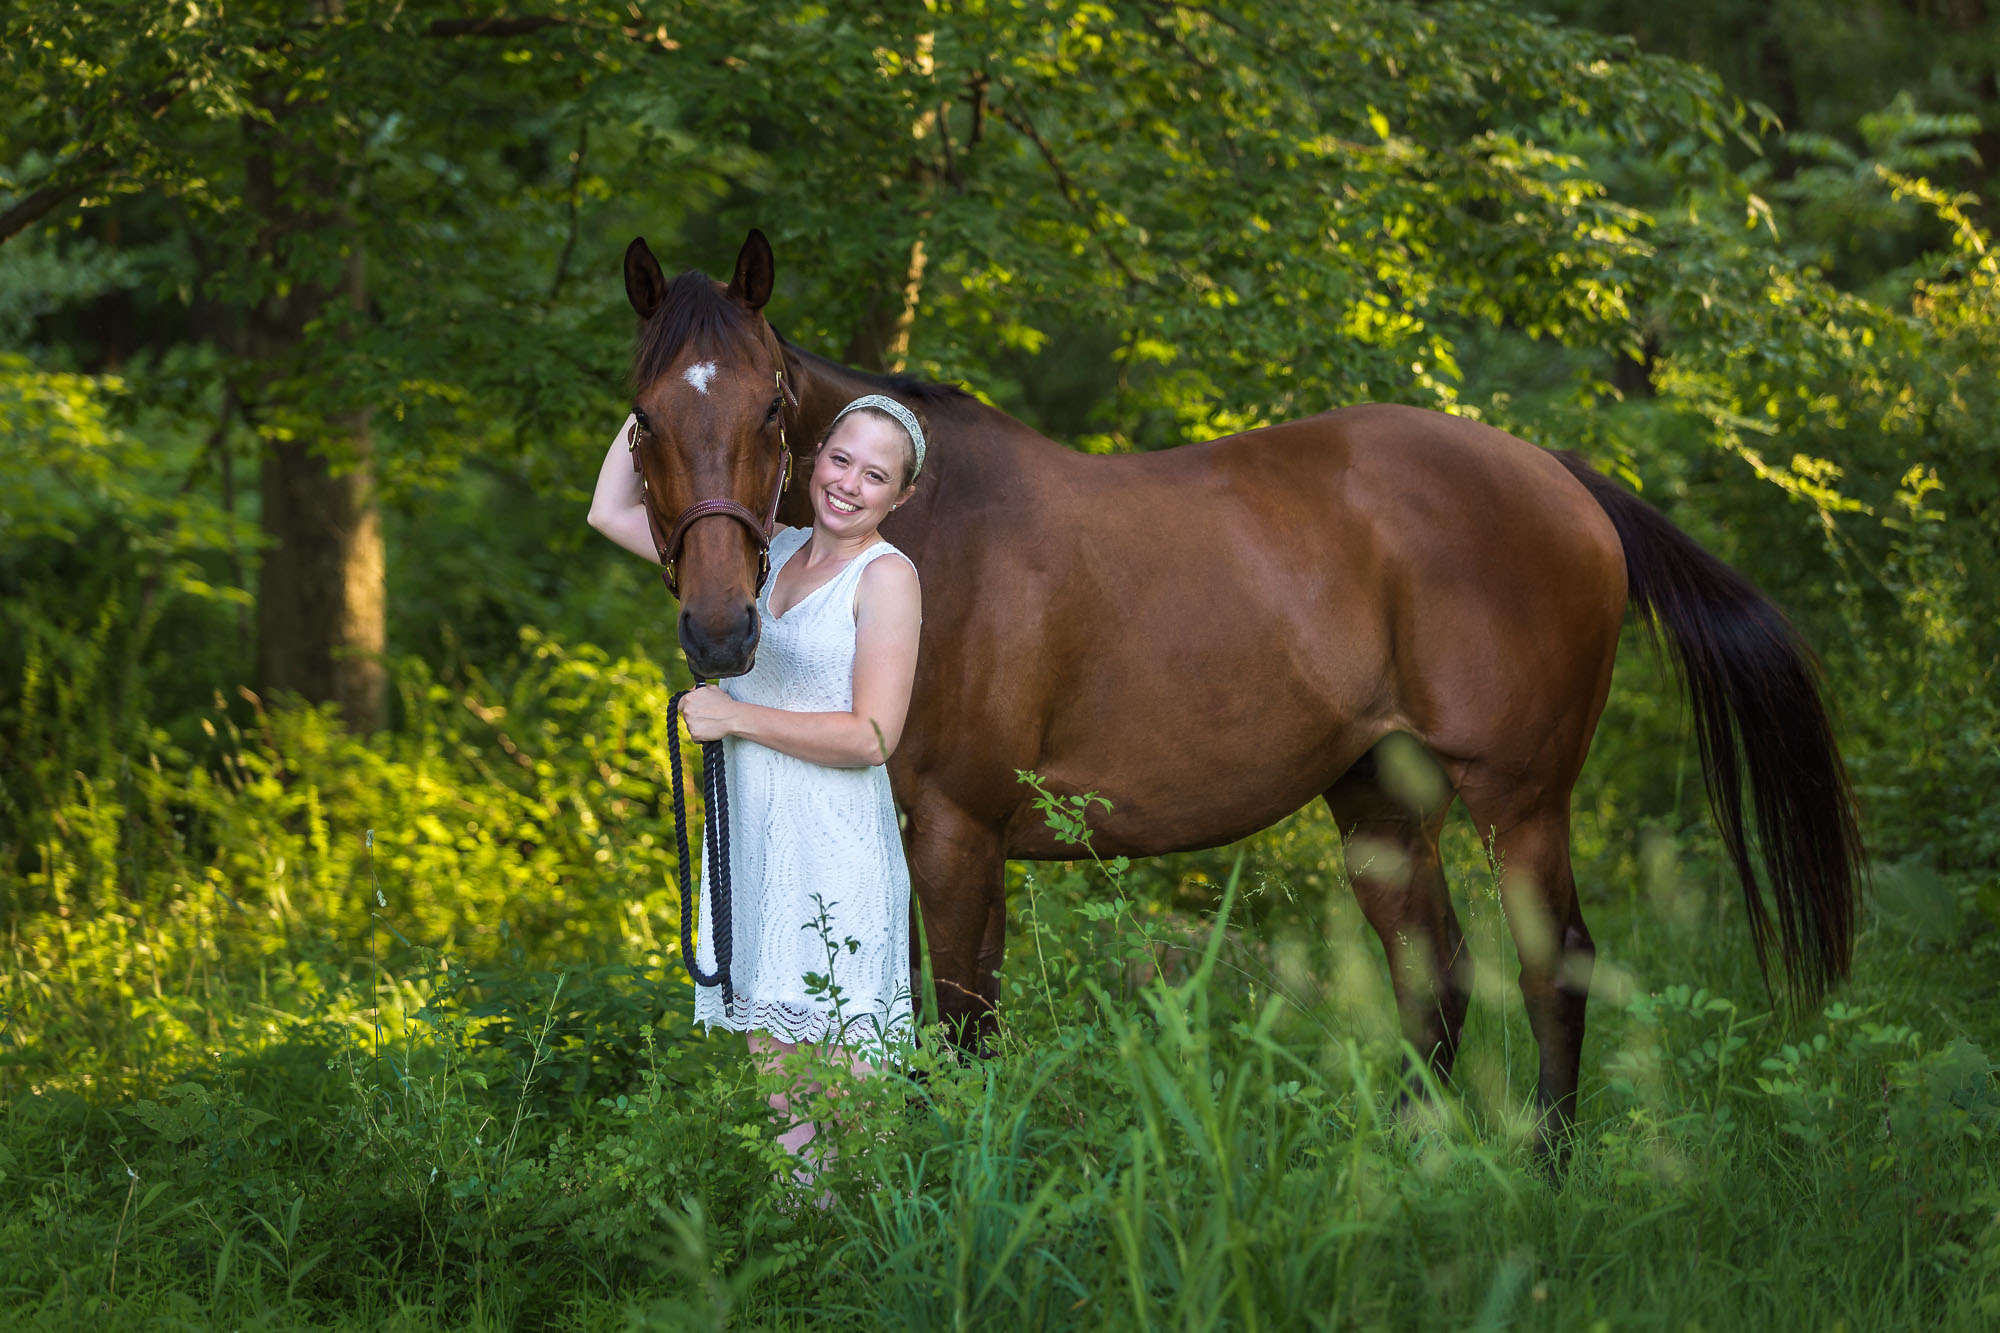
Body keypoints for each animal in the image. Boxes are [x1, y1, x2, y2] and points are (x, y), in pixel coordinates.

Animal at [620, 228, 1863, 1154]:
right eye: (644, 416)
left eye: (769, 410)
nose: (721, 629)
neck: (925, 526)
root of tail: (1558, 478)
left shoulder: (960, 834)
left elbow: (961, 1041)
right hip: (1377, 800)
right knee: (1434, 979)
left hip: (1519, 798)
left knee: (1551, 969)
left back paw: (1546, 1179)